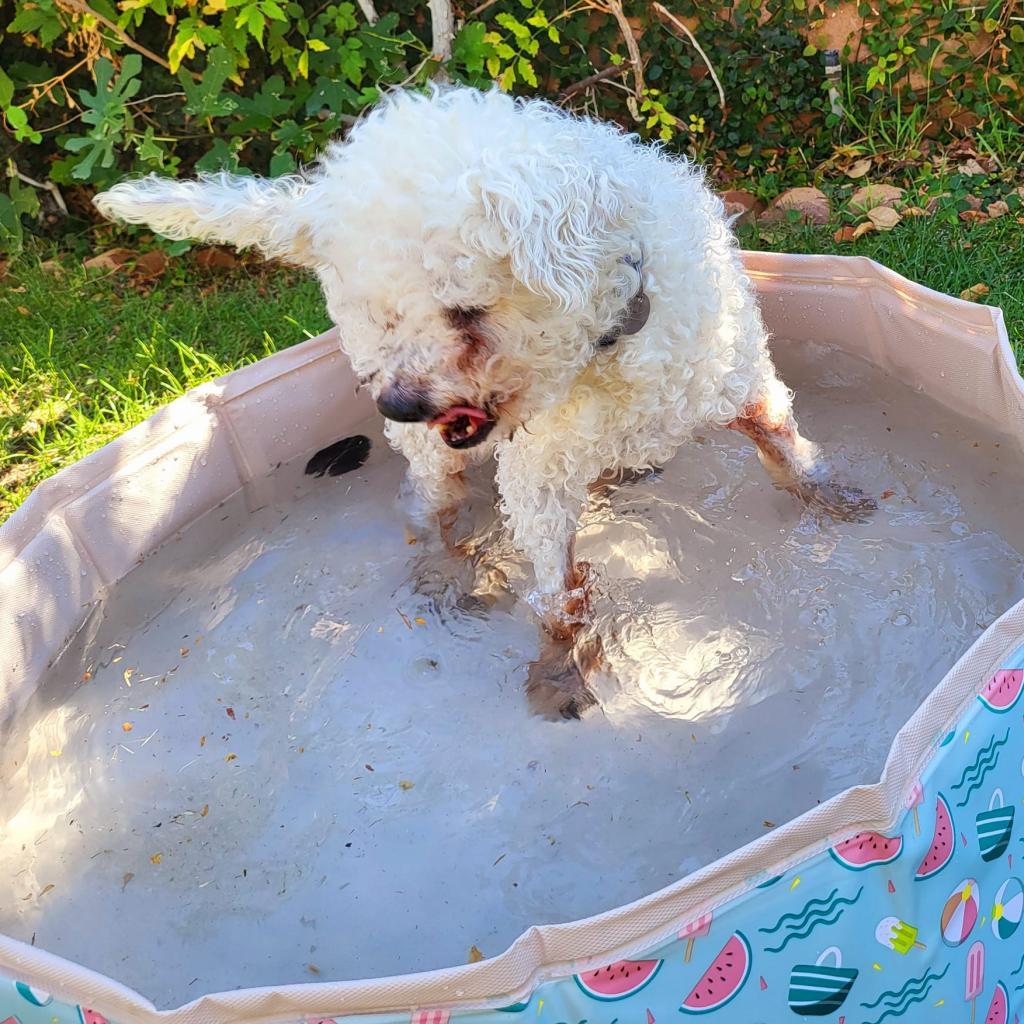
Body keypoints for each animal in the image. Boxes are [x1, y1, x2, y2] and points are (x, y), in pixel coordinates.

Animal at [94, 86, 872, 712]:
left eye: (464, 309)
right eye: (387, 317)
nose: (399, 404)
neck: (613, 337)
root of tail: (316, 203)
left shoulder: (737, 375)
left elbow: (785, 446)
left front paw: (832, 503)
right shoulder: (538, 478)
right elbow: (555, 595)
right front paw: (561, 670)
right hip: (427, 453)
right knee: (429, 507)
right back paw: (451, 570)